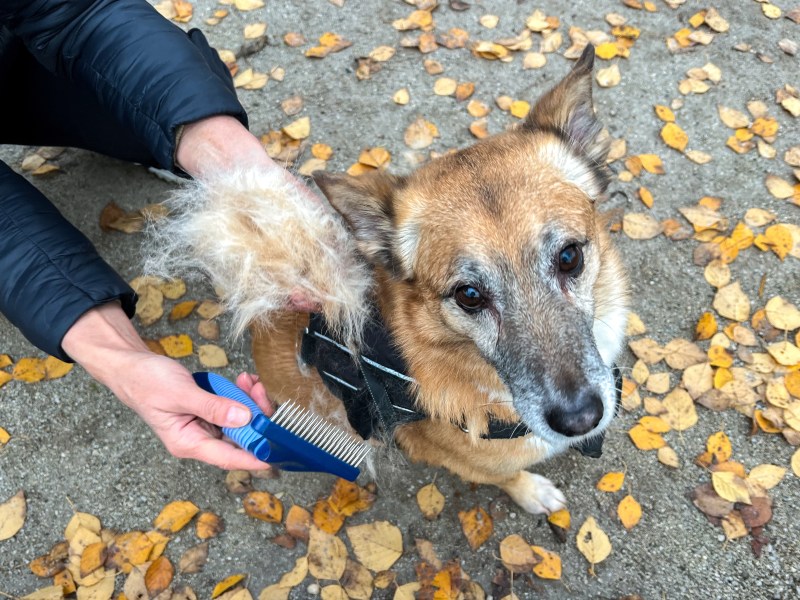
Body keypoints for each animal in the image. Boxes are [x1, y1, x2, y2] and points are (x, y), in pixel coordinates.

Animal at [247, 48, 628, 516]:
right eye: (469, 296)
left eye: (570, 257)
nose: (580, 420)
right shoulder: (469, 463)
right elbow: (509, 477)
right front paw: (533, 492)